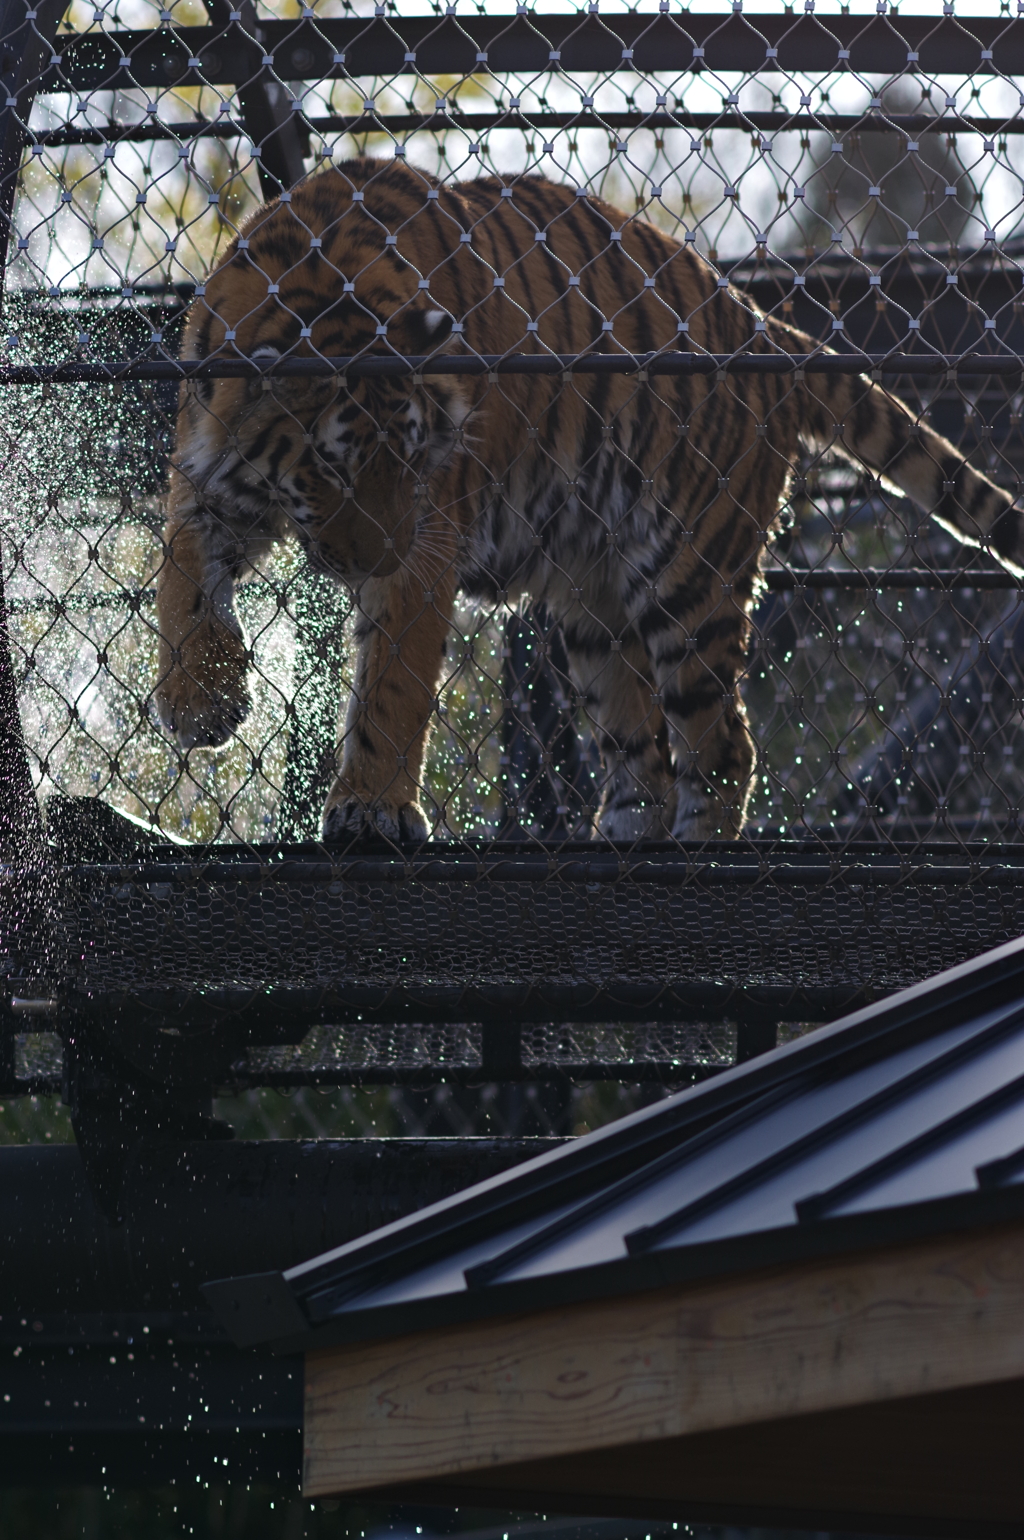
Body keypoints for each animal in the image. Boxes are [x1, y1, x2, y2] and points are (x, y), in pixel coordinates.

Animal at [153, 153, 1022, 843]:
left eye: (410, 459)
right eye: (334, 468)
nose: (380, 557)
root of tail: (762, 326)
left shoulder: (430, 542)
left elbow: (393, 685)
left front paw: (372, 808)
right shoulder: (205, 485)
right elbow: (183, 588)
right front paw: (200, 702)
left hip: (692, 576)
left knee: (721, 749)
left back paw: (695, 849)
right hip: (593, 605)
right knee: (645, 758)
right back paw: (620, 837)